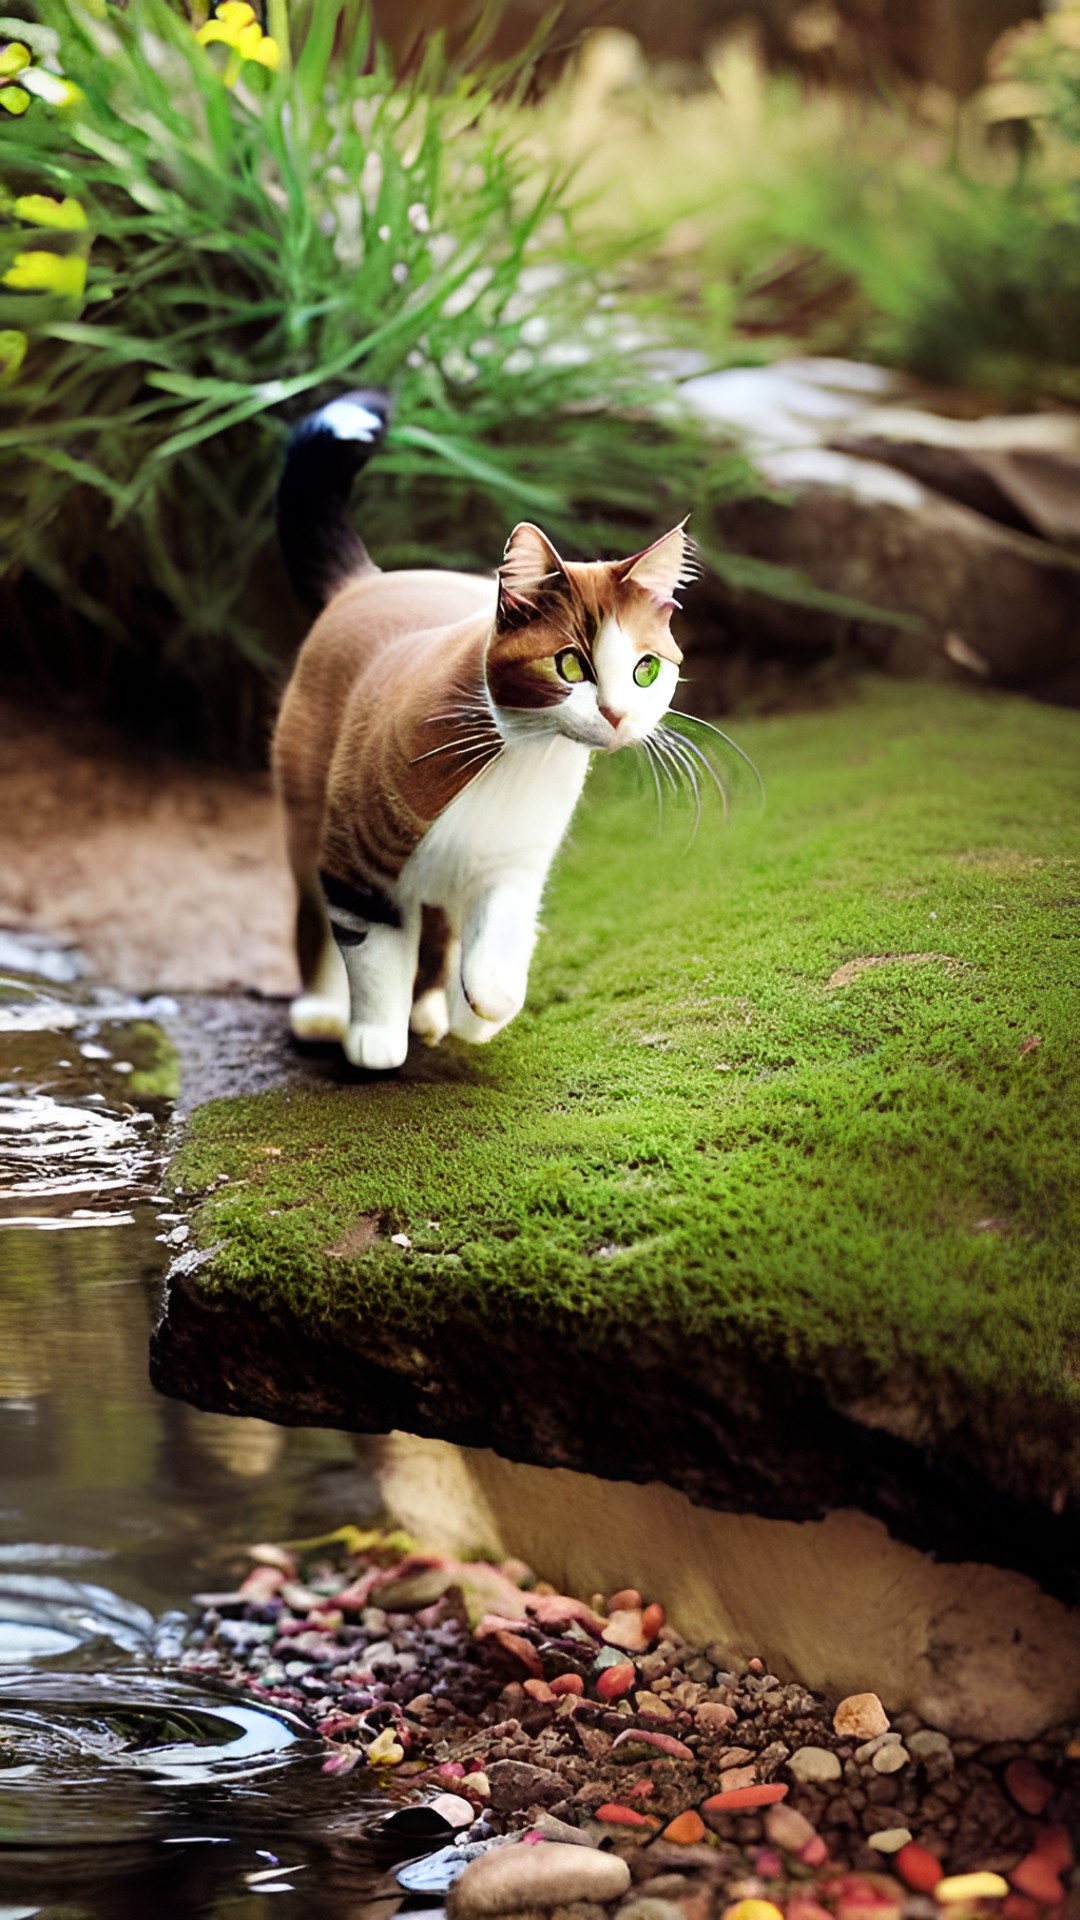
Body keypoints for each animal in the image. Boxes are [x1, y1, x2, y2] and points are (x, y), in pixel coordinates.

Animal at [270, 391, 687, 1075]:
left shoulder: (513, 863)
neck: (523, 754)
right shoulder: (359, 867)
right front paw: (376, 1039)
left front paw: (482, 1011)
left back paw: (435, 1012)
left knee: (442, 930)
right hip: (307, 807)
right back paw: (327, 1012)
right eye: (570, 666)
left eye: (645, 669)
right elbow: (376, 955)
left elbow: (496, 954)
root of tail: (367, 579)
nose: (617, 714)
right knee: (315, 913)